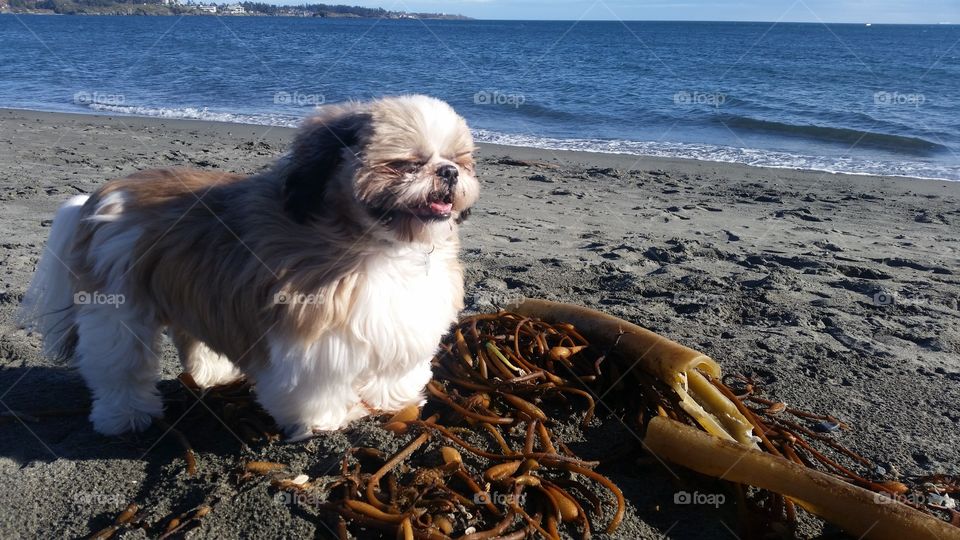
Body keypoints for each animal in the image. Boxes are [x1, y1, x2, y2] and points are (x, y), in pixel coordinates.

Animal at [16, 95, 478, 440]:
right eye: (404, 163)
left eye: (460, 161)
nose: (448, 172)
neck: (378, 246)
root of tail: (98, 198)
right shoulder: (314, 342)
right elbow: (315, 389)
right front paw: (325, 420)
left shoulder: (403, 324)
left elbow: (397, 370)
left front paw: (395, 401)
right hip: (117, 309)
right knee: (118, 368)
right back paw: (124, 416)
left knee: (190, 336)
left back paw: (212, 373)